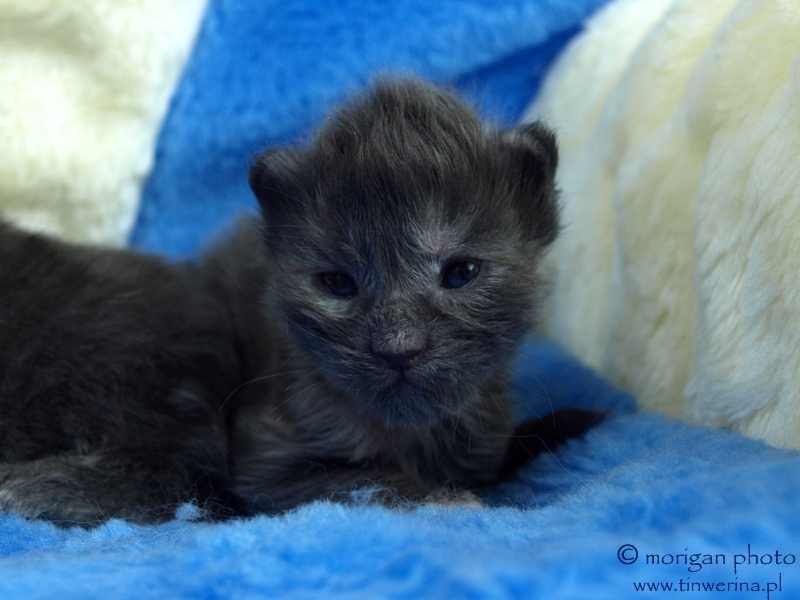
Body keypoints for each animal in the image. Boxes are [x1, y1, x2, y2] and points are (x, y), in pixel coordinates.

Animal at [0, 77, 600, 524]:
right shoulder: (266, 463)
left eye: (462, 273)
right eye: (337, 284)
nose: (399, 349)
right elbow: (365, 480)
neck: (409, 436)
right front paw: (444, 501)